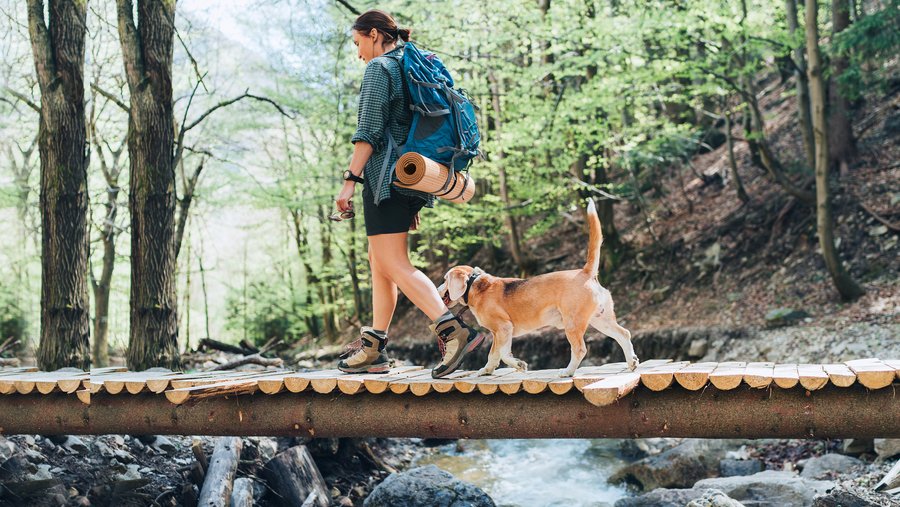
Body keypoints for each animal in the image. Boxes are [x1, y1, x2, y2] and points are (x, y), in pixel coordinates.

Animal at [438, 198, 636, 378]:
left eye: (445, 279)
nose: (438, 290)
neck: (475, 285)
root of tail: (585, 272)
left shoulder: (503, 328)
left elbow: (503, 354)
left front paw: (518, 364)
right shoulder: (497, 334)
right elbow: (493, 355)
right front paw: (486, 370)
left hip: (573, 324)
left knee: (580, 349)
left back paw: (568, 372)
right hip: (601, 320)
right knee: (624, 334)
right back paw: (631, 362)